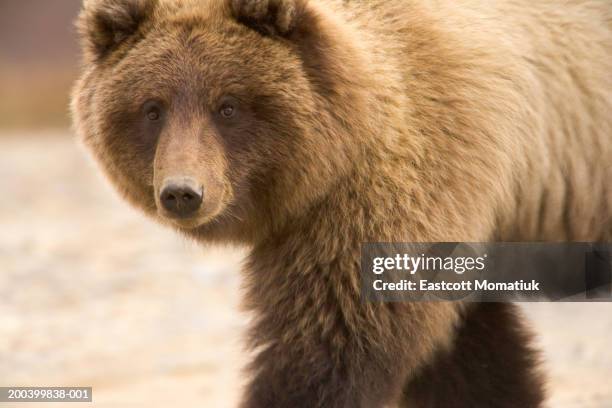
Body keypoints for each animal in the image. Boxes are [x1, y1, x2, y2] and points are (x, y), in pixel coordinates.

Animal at [70, 0, 608, 408]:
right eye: (151, 108)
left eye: (228, 105)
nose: (183, 191)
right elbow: (472, 358)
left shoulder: (390, 190)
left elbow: (333, 341)